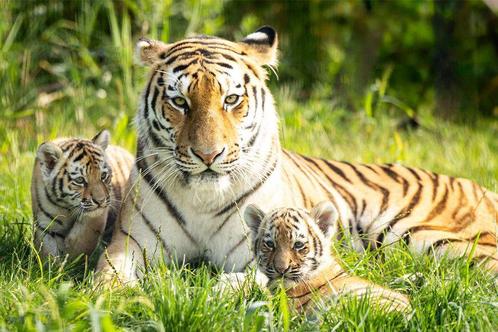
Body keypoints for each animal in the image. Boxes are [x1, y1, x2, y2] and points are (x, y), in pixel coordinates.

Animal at [95, 26, 496, 286]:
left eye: (231, 99)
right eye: (180, 102)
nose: (209, 155)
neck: (203, 199)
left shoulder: (262, 254)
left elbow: (236, 283)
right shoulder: (130, 245)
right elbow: (107, 277)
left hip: (431, 237)